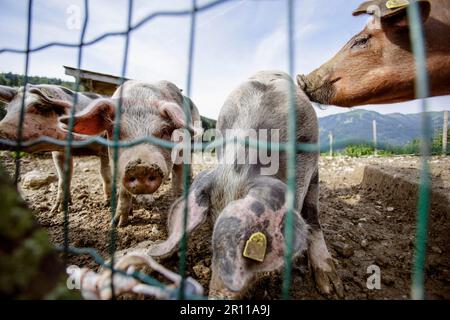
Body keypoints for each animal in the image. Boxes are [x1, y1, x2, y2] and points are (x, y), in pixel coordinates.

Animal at [0, 84, 111, 212]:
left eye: (39, 106)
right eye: (7, 110)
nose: (0, 133)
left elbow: (105, 173)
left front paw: (107, 204)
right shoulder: (59, 152)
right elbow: (63, 175)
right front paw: (57, 209)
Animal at [59, 80, 202, 228]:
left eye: (164, 131)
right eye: (116, 132)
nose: (141, 167)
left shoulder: (182, 150)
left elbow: (178, 183)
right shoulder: (118, 165)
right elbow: (123, 192)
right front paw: (117, 224)